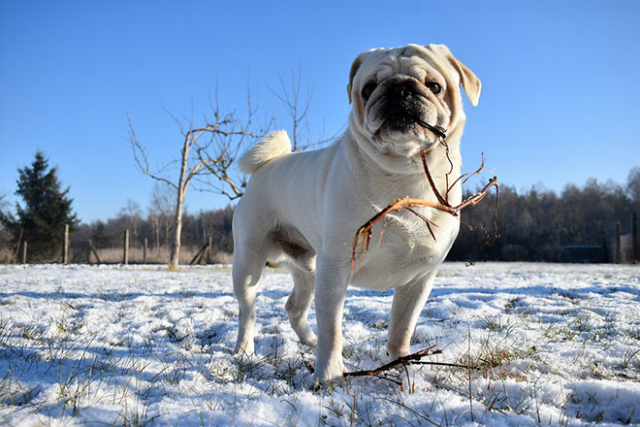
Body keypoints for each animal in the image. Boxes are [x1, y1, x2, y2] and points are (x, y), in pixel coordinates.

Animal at [232, 42, 478, 384]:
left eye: (435, 87)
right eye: (369, 88)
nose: (400, 89)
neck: (404, 173)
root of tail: (265, 166)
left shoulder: (419, 279)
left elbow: (402, 327)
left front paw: (402, 363)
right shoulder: (336, 269)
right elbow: (332, 328)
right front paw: (329, 375)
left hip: (309, 270)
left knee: (294, 307)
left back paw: (309, 341)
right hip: (250, 262)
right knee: (248, 311)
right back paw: (245, 350)